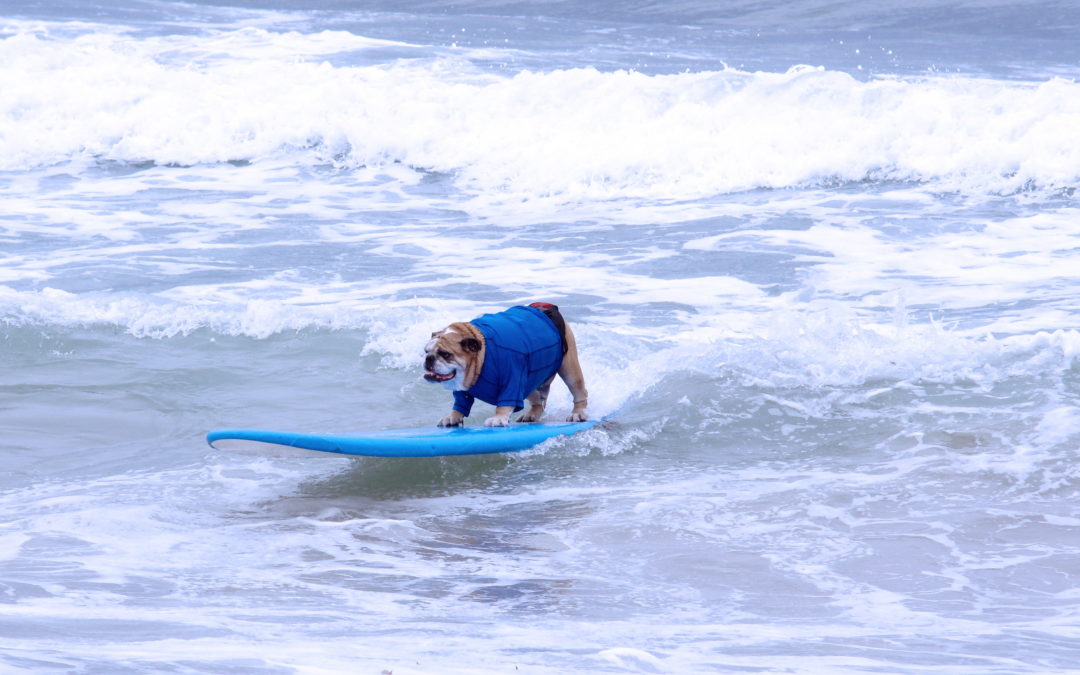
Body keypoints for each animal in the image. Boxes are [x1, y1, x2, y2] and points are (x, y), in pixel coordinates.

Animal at [423, 302, 591, 425]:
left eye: (445, 354)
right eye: (426, 351)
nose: (428, 358)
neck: (480, 360)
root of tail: (546, 309)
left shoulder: (513, 378)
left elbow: (504, 403)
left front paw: (498, 418)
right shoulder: (462, 388)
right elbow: (460, 402)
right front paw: (453, 416)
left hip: (569, 370)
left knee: (579, 392)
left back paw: (577, 413)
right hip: (529, 382)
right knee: (539, 401)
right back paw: (531, 415)